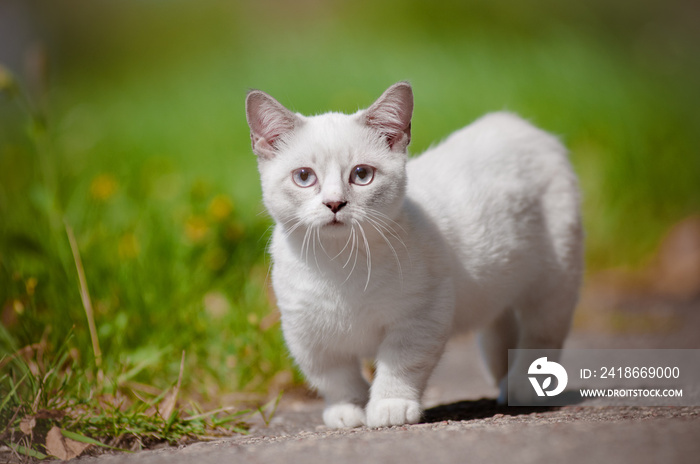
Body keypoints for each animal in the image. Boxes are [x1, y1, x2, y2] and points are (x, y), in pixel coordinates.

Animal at [243, 81, 584, 430]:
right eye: (304, 177)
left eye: (361, 174)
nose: (334, 203)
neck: (339, 264)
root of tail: (516, 123)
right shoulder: (306, 333)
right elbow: (335, 377)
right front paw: (347, 409)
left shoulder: (420, 316)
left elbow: (400, 365)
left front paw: (390, 406)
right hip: (498, 288)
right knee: (499, 330)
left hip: (553, 281)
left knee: (541, 334)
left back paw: (524, 387)